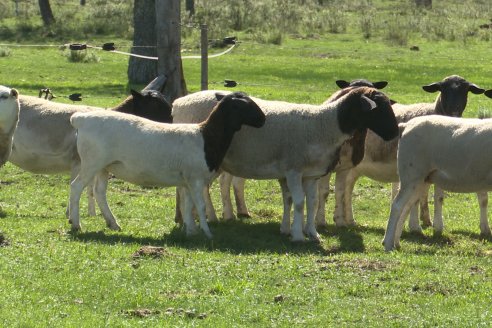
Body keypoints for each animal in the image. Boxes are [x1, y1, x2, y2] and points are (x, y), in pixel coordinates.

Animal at [7, 75, 174, 217]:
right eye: (156, 107)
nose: (173, 127)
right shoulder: (79, 161)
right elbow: (83, 187)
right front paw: (72, 214)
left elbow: (90, 189)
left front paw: (90, 214)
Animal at [69, 91, 266, 237]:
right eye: (242, 105)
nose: (263, 119)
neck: (206, 136)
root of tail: (80, 119)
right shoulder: (196, 178)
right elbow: (200, 205)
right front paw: (208, 233)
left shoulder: (187, 180)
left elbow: (188, 205)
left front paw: (191, 231)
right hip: (92, 162)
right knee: (76, 186)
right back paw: (76, 224)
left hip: (104, 166)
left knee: (99, 192)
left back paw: (113, 224)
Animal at [219, 87, 400, 241]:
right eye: (378, 109)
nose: (394, 133)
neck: (323, 125)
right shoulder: (293, 170)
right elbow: (299, 202)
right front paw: (298, 235)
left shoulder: (311, 174)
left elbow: (312, 202)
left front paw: (313, 234)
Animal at [330, 75, 484, 232]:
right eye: (443, 89)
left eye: (465, 91)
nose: (454, 111)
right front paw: (417, 225)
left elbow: (436, 196)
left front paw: (430, 222)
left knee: (347, 186)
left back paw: (349, 219)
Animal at [384, 115, 492, 251]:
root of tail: (406, 126)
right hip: (411, 173)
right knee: (397, 206)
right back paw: (388, 245)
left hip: (421, 180)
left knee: (406, 207)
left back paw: (396, 243)